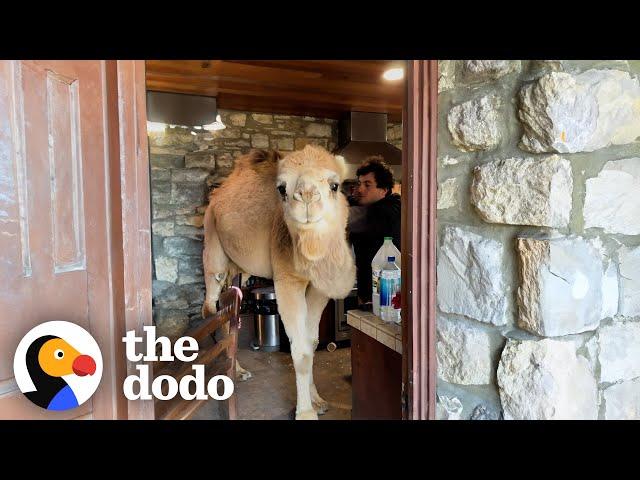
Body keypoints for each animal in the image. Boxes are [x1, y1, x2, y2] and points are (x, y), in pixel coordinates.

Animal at [202, 144, 358, 418]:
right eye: (282, 188)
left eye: (335, 185)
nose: (306, 196)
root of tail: (216, 197)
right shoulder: (287, 281)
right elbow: (301, 350)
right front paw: (305, 412)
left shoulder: (318, 290)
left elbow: (312, 341)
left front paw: (318, 401)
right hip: (213, 244)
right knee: (210, 306)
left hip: (238, 269)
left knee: (230, 308)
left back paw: (239, 370)